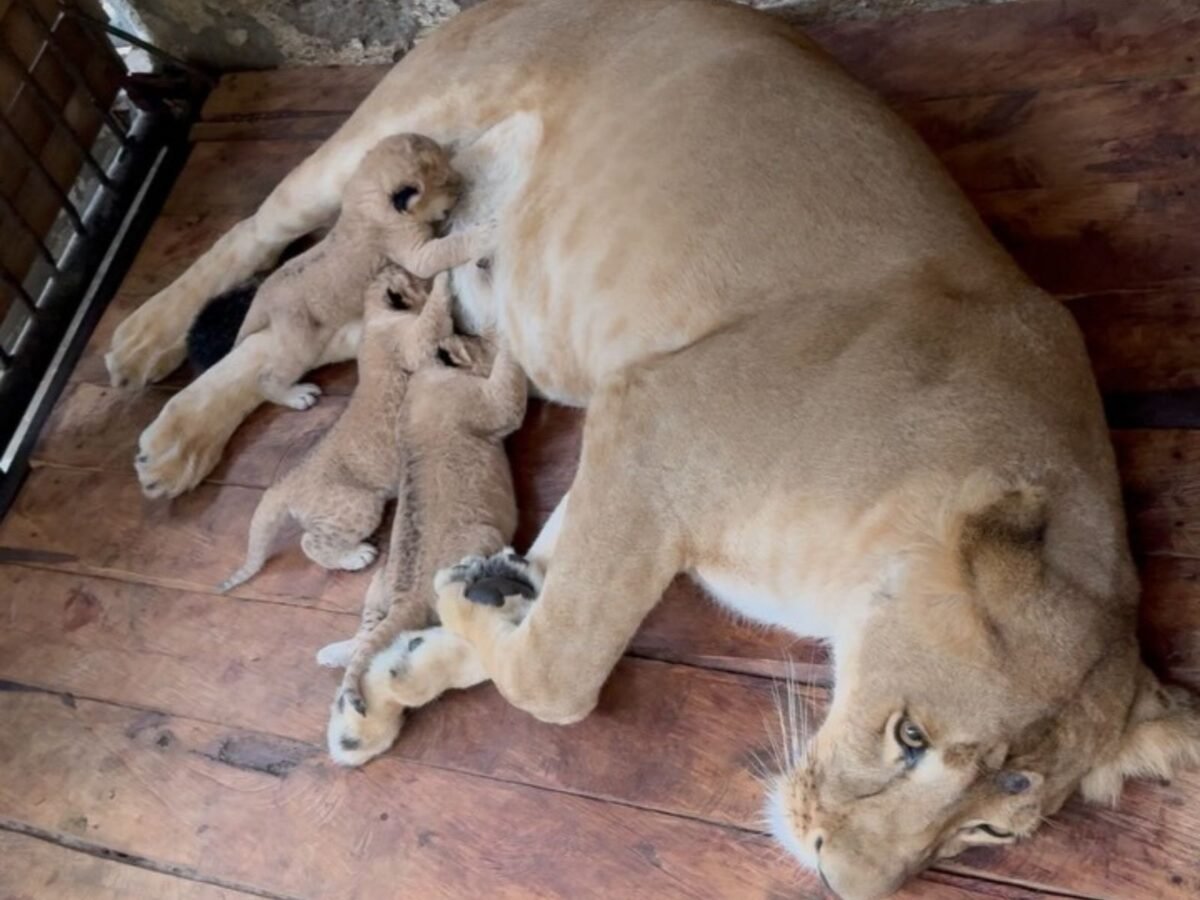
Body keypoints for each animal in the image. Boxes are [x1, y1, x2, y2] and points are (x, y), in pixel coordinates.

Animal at [103, 0, 1200, 895]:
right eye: (910, 735)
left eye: (988, 834)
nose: (840, 881)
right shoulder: (655, 420)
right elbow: (563, 670)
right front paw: (446, 626)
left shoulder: (633, 459)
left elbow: (539, 605)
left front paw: (402, 668)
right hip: (382, 138)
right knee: (249, 231)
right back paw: (144, 355)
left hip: (394, 269)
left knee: (301, 335)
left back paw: (185, 436)